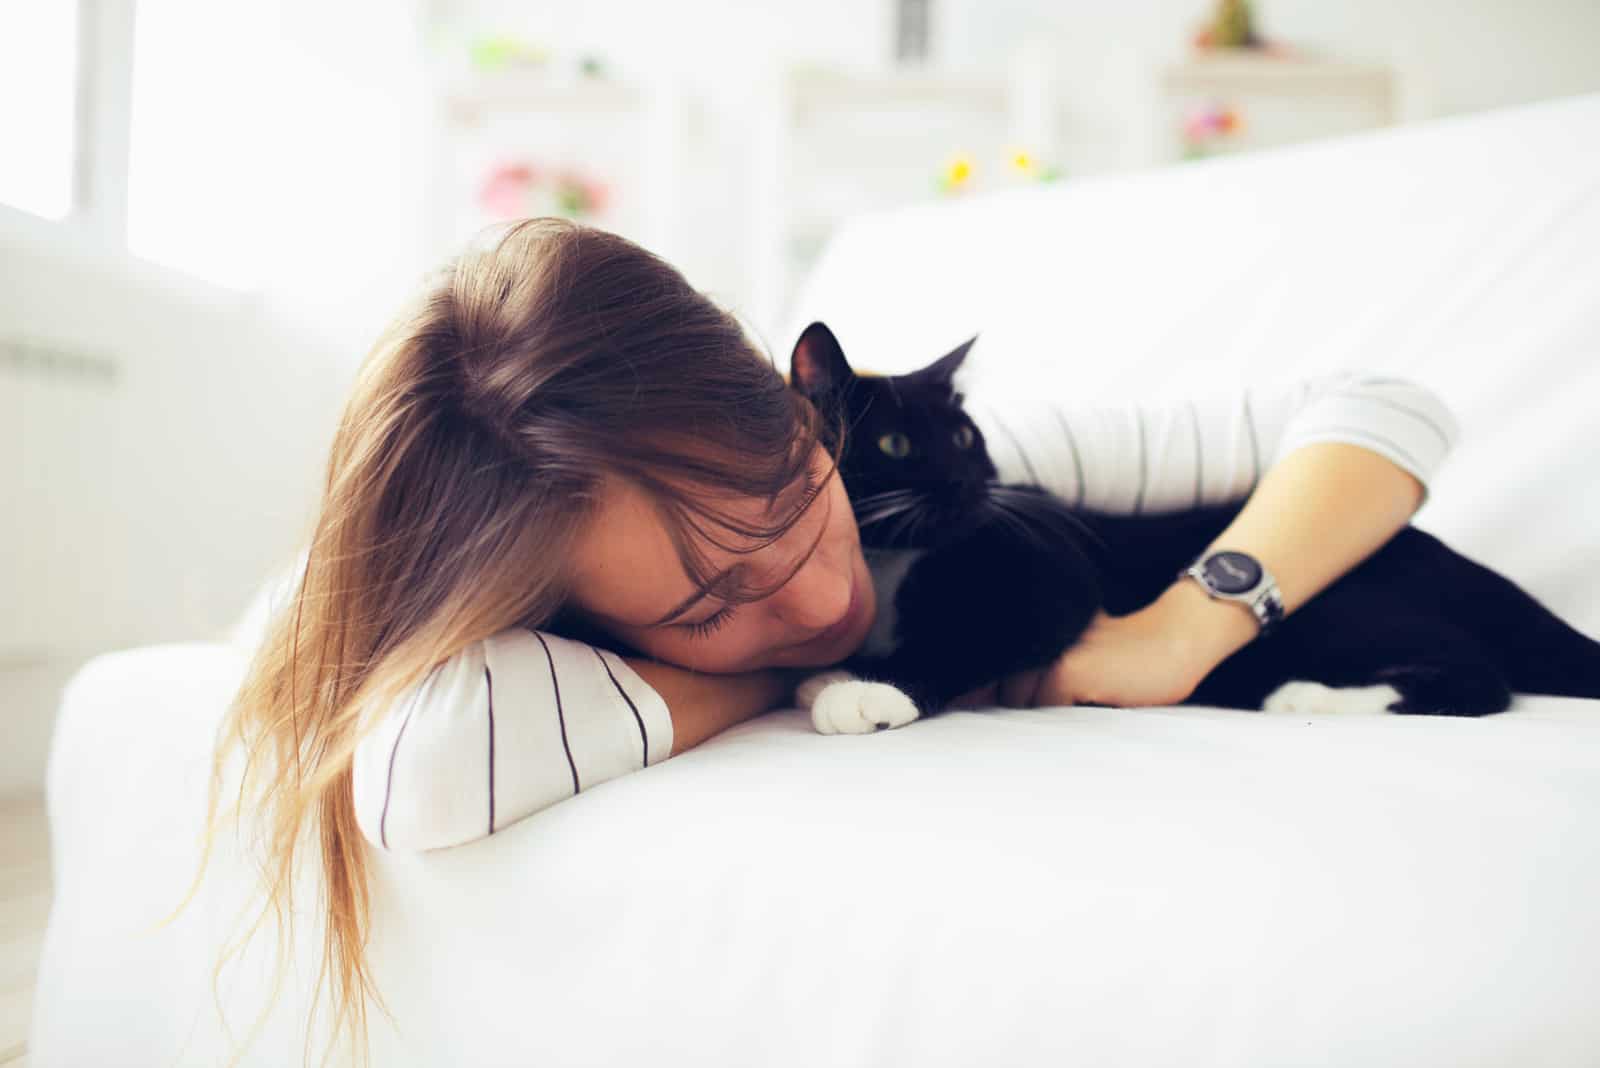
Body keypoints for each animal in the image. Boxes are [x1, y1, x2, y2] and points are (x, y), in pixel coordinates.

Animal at [787, 321, 1600, 729]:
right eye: (896, 445)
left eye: (962, 437)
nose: (968, 481)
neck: (893, 562)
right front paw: (840, 671)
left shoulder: (1052, 579)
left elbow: (968, 638)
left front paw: (867, 692)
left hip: (1340, 611)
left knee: (1479, 679)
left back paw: (1307, 698)